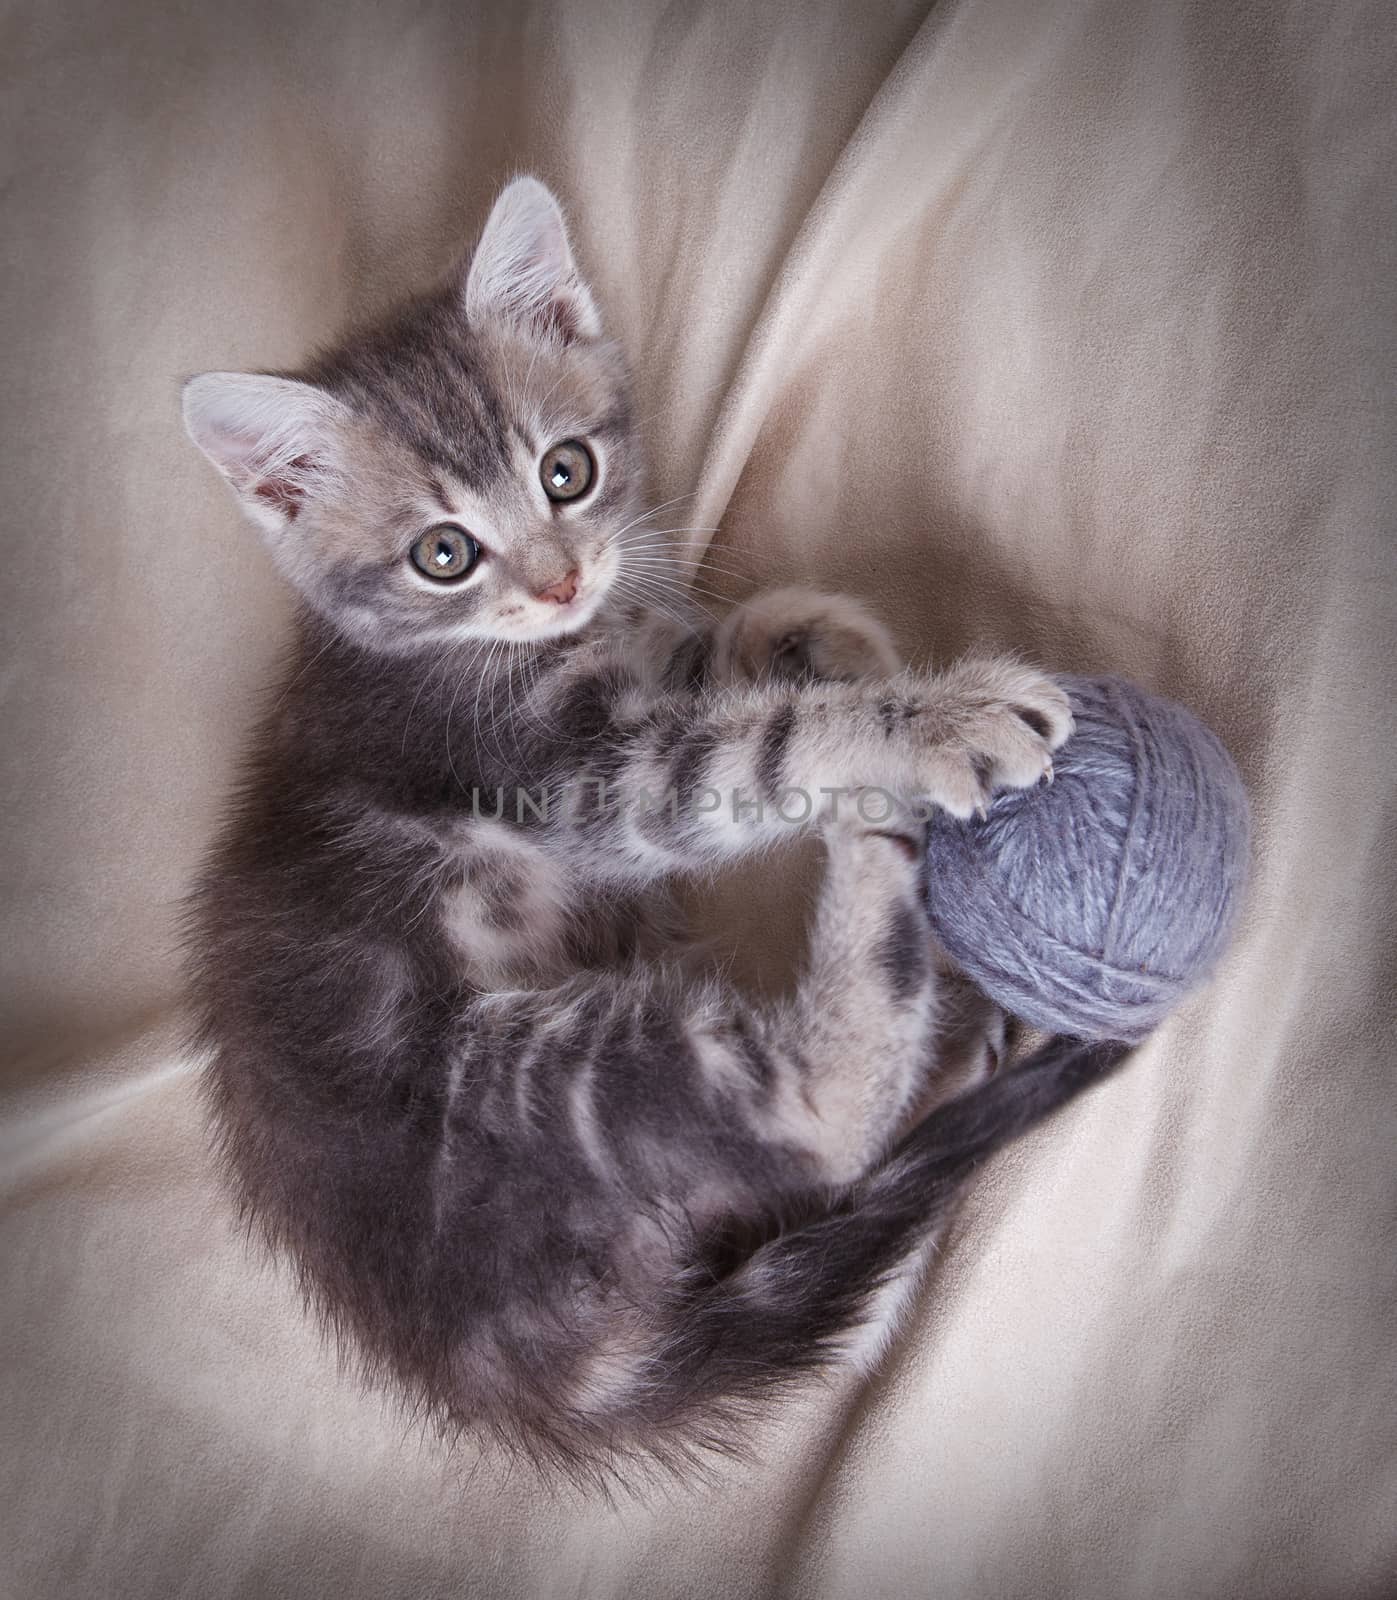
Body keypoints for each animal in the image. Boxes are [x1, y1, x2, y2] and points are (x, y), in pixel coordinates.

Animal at [182, 178, 1120, 1484]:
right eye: (442, 552)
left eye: (564, 471)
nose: (560, 581)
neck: (450, 648)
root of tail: (496, 1363)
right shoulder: (565, 779)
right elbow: (746, 752)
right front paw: (922, 718)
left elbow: (705, 661)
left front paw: (812, 629)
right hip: (518, 1081)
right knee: (810, 1114)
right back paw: (874, 853)